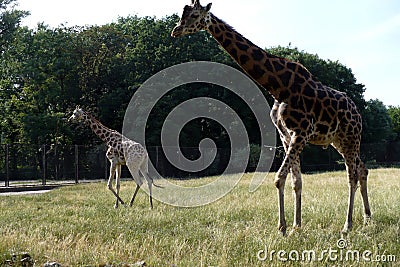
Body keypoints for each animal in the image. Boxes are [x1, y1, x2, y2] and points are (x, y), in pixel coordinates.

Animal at [170, 0, 370, 236]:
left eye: (193, 15)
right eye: (182, 14)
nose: (175, 30)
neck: (278, 87)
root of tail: (357, 112)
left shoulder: (301, 132)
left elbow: (279, 178)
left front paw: (282, 228)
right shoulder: (286, 135)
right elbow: (296, 180)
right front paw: (296, 226)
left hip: (351, 137)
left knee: (352, 174)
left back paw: (347, 225)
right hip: (338, 140)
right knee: (362, 168)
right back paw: (367, 217)